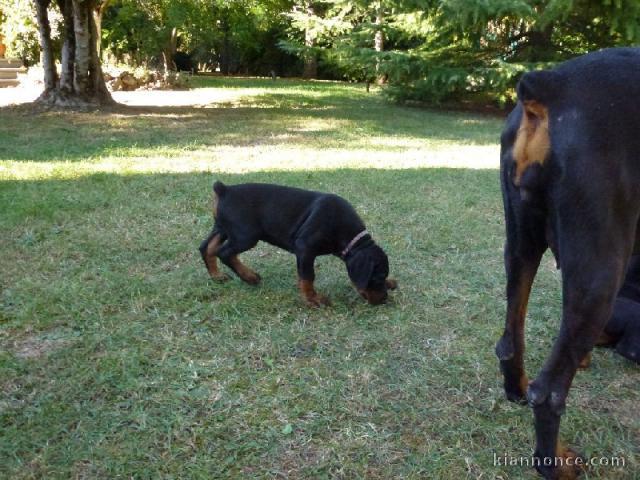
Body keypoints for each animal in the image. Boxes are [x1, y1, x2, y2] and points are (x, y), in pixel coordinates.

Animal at [198, 182, 398, 306]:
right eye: (377, 276)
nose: (384, 299)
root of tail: (225, 189)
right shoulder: (305, 248)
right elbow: (308, 276)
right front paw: (313, 299)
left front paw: (390, 283)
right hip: (245, 235)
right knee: (224, 253)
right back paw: (249, 276)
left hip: (223, 228)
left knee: (207, 247)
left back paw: (217, 276)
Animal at [498, 47, 640, 478]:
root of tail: (553, 84)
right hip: (600, 272)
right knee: (548, 393)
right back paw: (554, 465)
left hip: (521, 244)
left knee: (511, 341)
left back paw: (517, 388)